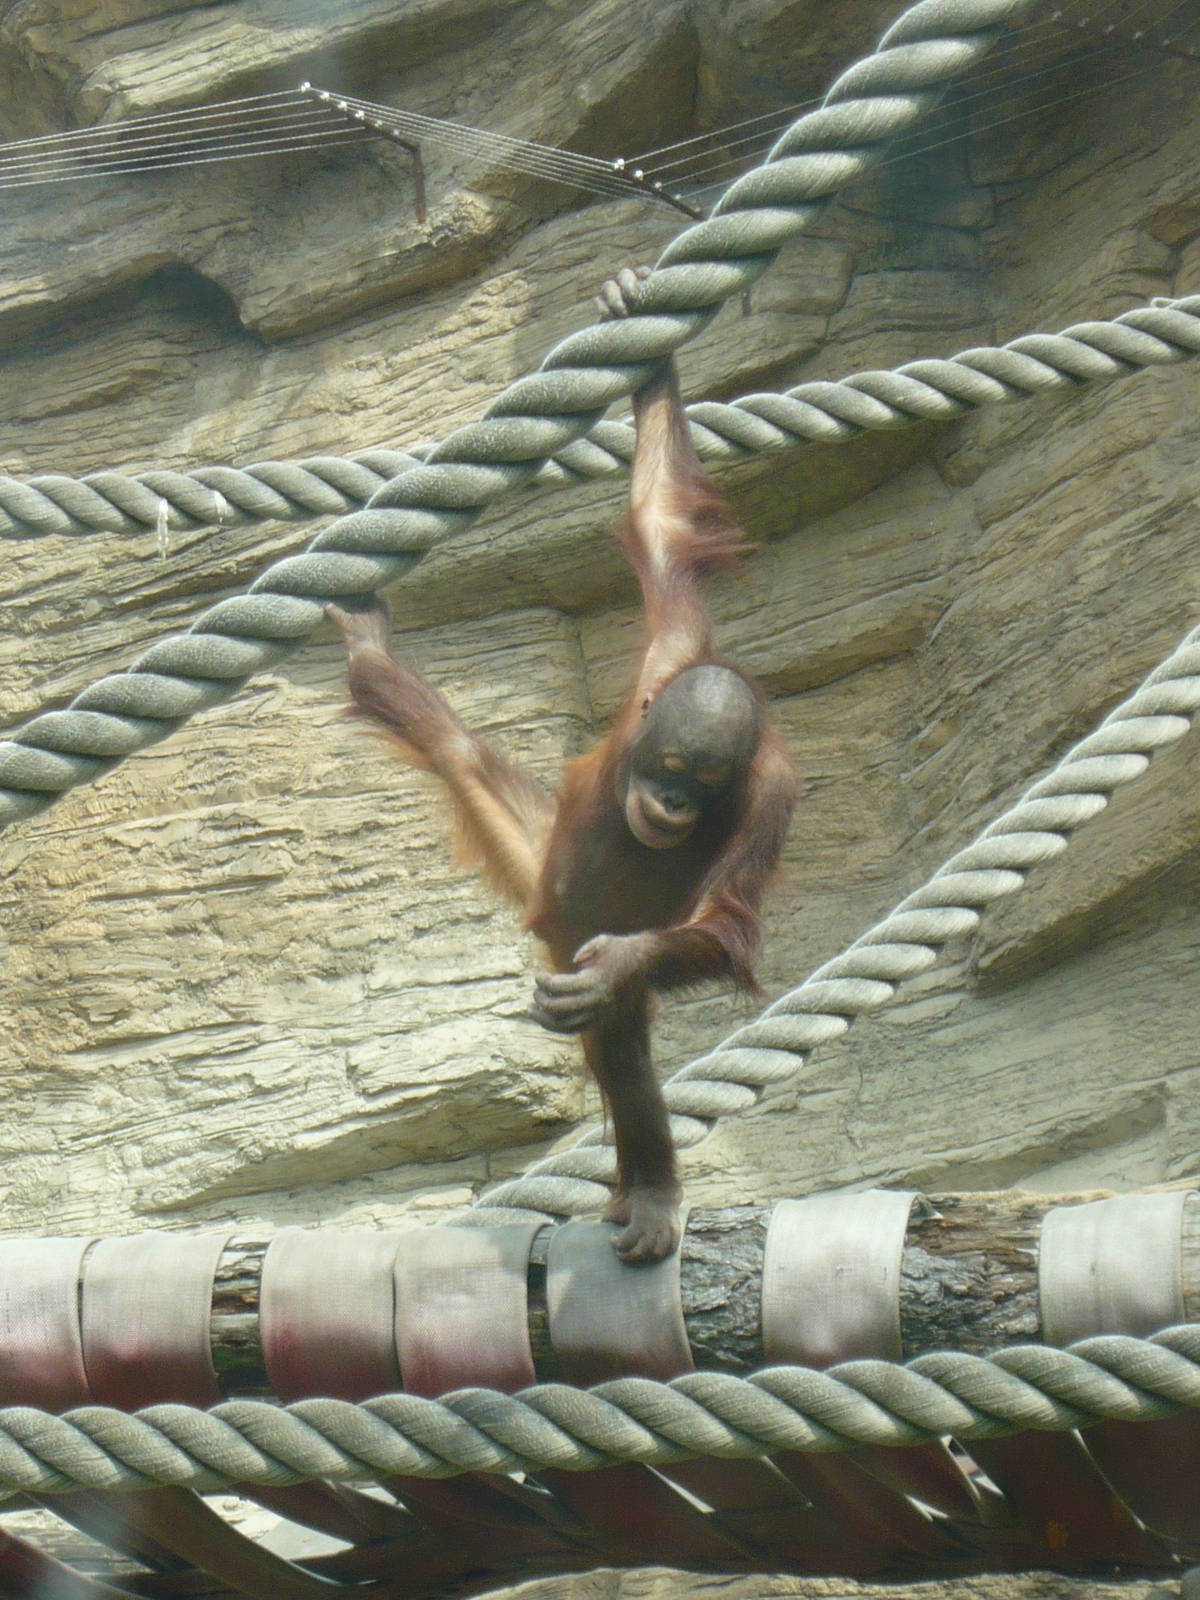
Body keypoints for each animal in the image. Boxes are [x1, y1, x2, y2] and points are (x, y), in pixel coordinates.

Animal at [327, 266, 799, 1261]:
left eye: (704, 785)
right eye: (667, 762)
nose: (669, 801)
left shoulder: (774, 794)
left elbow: (729, 921)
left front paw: (622, 962)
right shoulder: (670, 660)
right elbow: (660, 522)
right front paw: (647, 355)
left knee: (614, 1032)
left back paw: (647, 1189)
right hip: (535, 852)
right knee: (457, 750)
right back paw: (373, 664)